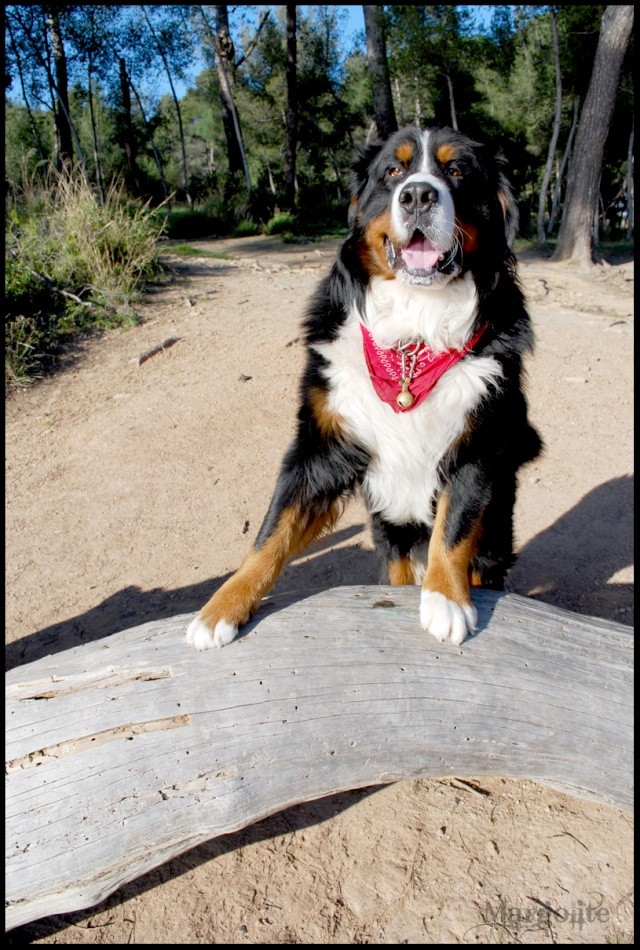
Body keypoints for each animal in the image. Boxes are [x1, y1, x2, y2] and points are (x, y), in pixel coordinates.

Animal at [188, 126, 544, 656]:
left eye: (457, 171)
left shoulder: (478, 444)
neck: (413, 337)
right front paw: (221, 607)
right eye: (392, 171)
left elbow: (454, 526)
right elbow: (272, 530)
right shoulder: (321, 446)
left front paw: (446, 598)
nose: (417, 195)